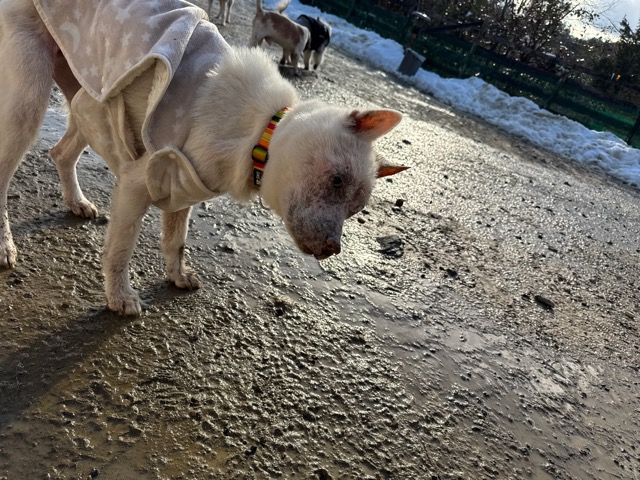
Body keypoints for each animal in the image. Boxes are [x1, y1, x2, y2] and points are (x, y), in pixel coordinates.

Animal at [0, 0, 405, 316]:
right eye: (336, 180)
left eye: (355, 210)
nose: (333, 249)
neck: (259, 130)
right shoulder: (135, 183)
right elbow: (120, 248)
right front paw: (120, 297)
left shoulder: (182, 185)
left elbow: (175, 240)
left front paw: (177, 276)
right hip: (29, 101)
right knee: (6, 173)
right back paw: (5, 244)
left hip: (88, 100)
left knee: (60, 152)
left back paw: (76, 201)